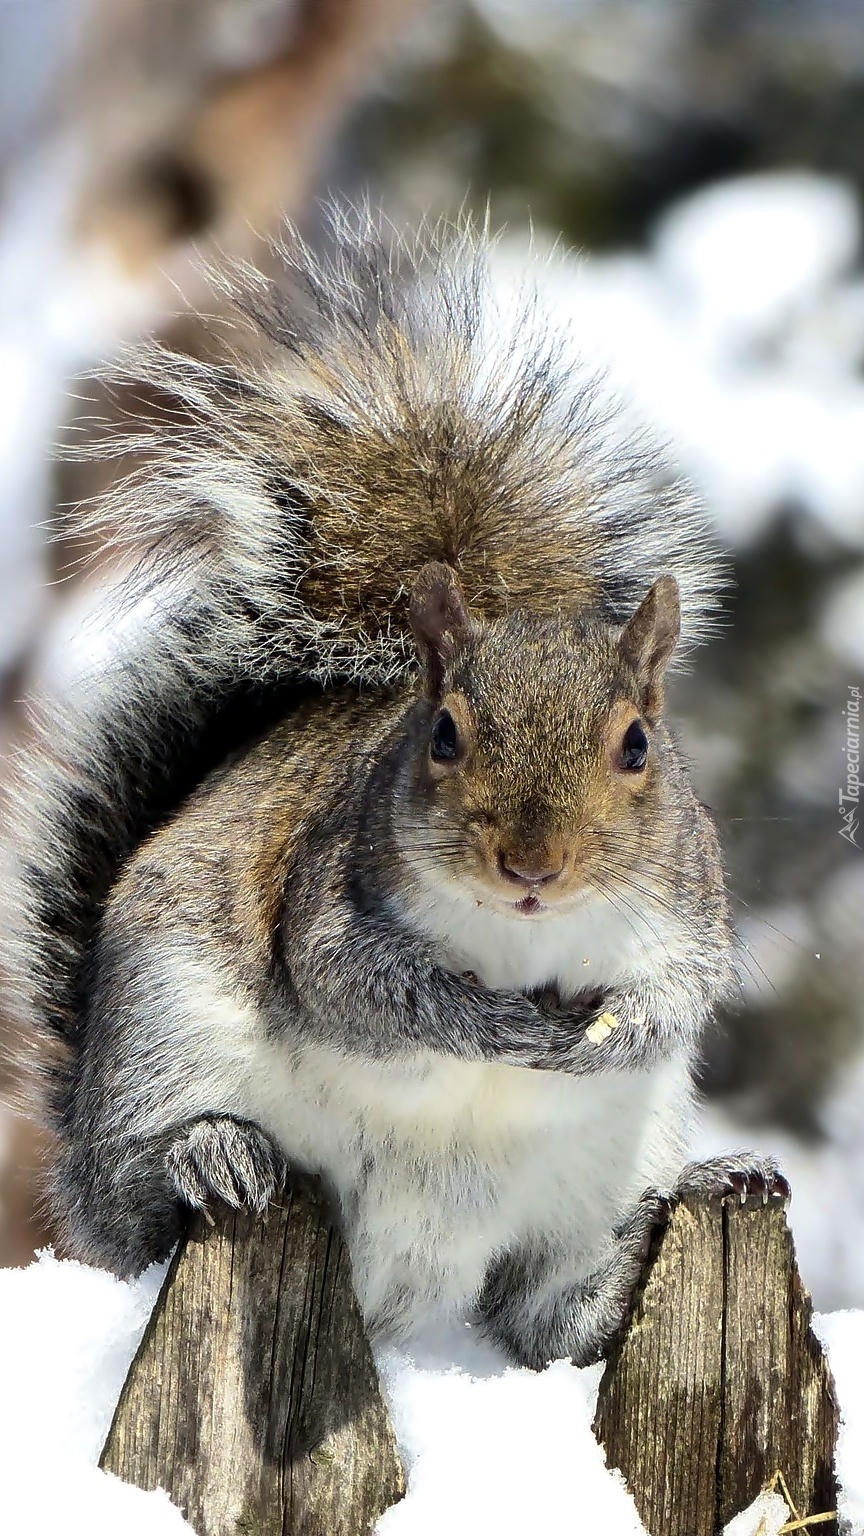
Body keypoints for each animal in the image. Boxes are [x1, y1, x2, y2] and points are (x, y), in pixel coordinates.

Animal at [8, 213, 787, 1370]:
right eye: (446, 736)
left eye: (639, 745)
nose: (532, 866)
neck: (520, 940)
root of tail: (394, 1296)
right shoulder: (331, 897)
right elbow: (360, 987)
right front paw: (488, 1024)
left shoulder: (687, 907)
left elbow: (681, 992)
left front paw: (614, 1035)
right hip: (160, 1040)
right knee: (143, 1204)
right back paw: (209, 1155)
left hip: (597, 1177)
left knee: (554, 1318)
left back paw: (702, 1191)